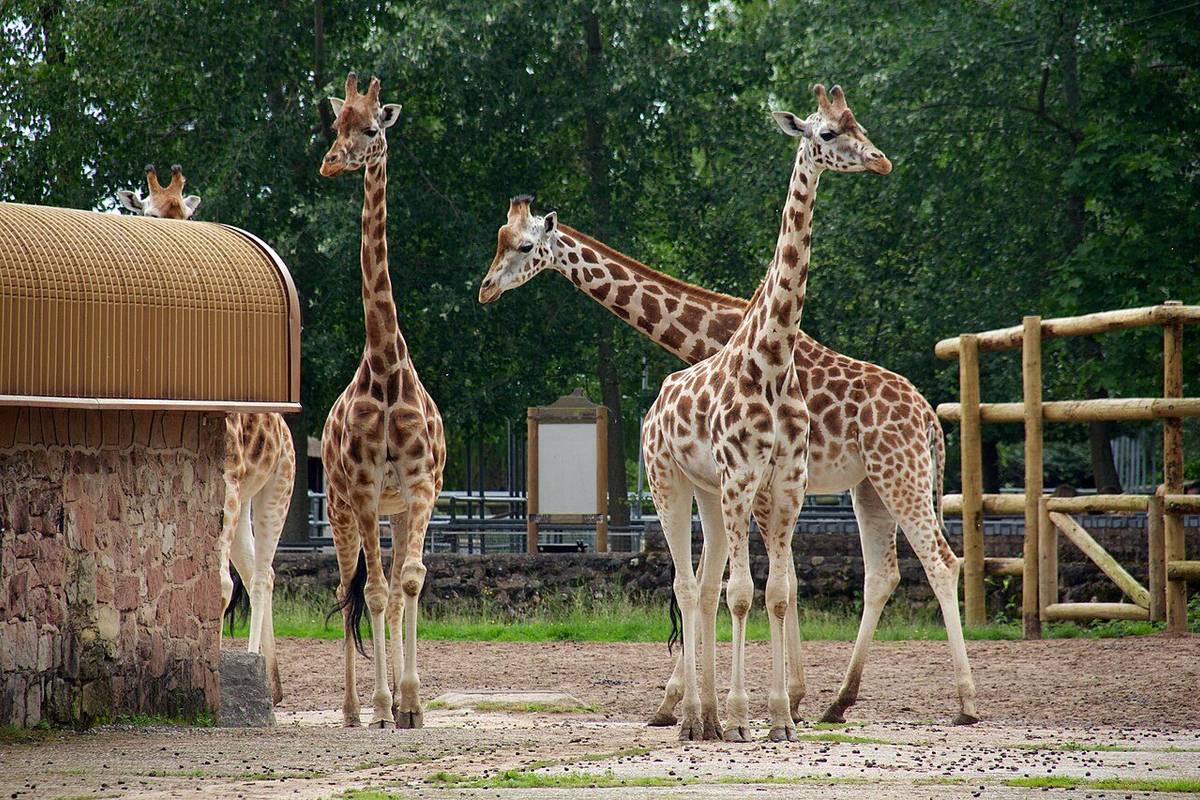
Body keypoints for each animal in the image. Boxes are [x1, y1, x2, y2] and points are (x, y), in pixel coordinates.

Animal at [117, 164, 295, 705]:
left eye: (185, 214)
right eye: (150, 213)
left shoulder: (228, 484)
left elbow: (215, 587)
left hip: (273, 490)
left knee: (260, 574)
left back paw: (259, 672)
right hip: (241, 504)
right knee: (255, 570)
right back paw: (272, 685)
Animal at [479, 89, 979, 727]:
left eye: (523, 246)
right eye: (500, 242)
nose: (487, 288)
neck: (714, 333)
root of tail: (931, 421)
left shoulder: (760, 481)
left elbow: (754, 581)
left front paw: (720, 700)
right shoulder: (747, 481)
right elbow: (751, 580)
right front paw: (759, 699)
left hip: (902, 475)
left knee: (939, 561)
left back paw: (962, 700)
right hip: (870, 487)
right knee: (883, 574)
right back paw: (839, 699)